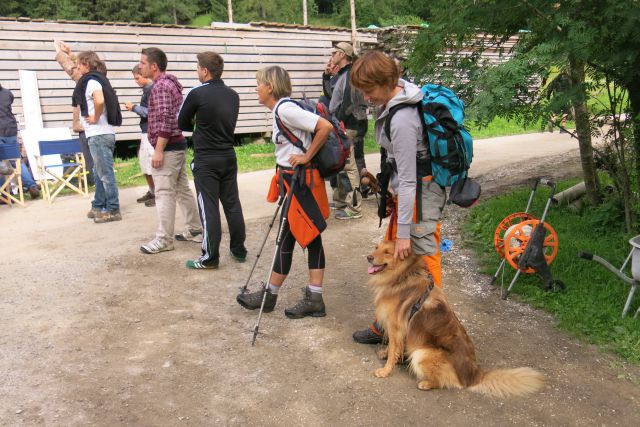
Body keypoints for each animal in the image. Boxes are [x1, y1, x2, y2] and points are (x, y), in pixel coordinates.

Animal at [368, 241, 544, 398]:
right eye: (376, 247)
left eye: (387, 252)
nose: (369, 257)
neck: (403, 275)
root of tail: (474, 375)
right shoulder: (399, 330)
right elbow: (393, 347)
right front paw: (386, 354)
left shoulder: (396, 327)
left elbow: (393, 349)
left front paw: (386, 370)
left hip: (422, 353)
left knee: (444, 382)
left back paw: (426, 383)